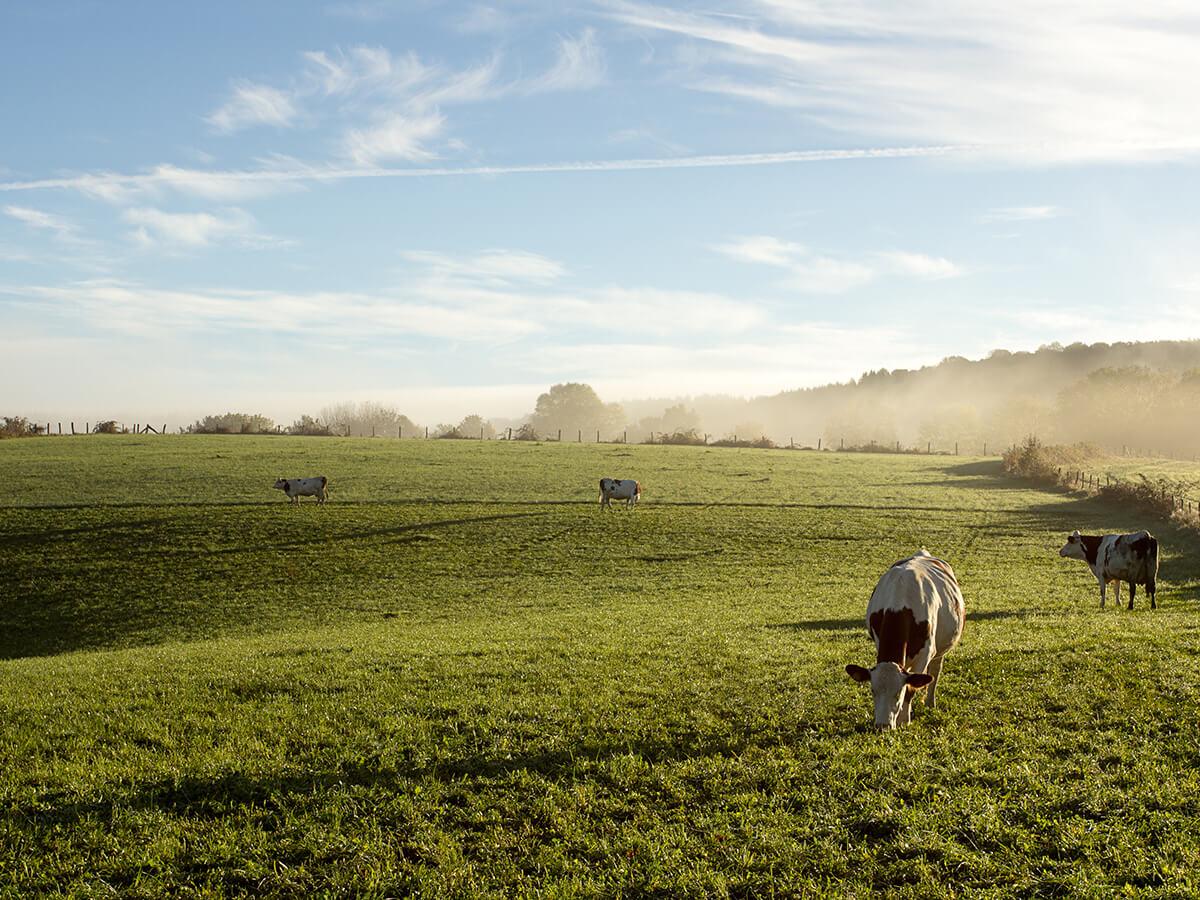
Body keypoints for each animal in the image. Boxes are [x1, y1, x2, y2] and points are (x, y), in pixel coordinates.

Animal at [844, 549, 964, 734]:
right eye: (873, 691)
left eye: (897, 693)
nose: (882, 726)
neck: (900, 605)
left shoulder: (925, 654)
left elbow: (910, 688)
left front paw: (903, 720)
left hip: (940, 650)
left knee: (935, 671)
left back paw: (930, 702)